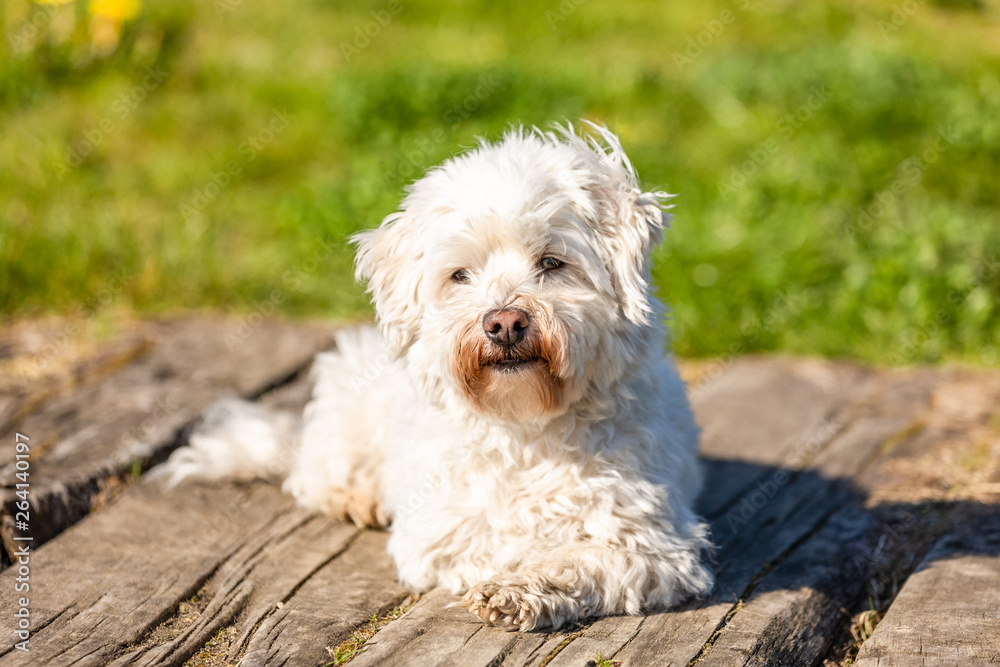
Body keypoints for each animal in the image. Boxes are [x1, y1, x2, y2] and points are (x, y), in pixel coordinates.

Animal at [158, 124, 712, 632]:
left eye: (552, 263)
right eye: (459, 275)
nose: (504, 323)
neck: (525, 424)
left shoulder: (656, 546)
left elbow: (580, 559)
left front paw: (520, 588)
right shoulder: (438, 532)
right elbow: (487, 543)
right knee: (312, 475)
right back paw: (358, 498)